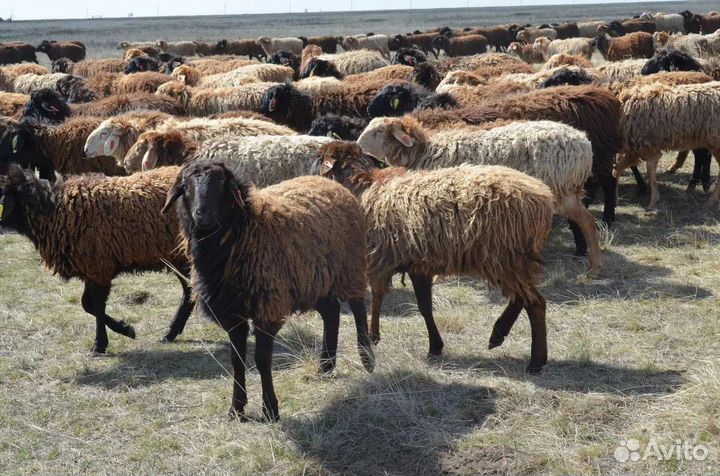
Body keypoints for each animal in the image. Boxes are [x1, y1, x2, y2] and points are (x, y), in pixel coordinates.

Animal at [0, 163, 194, 353]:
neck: (55, 211)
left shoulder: (99, 267)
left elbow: (97, 307)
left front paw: (100, 344)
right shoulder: (90, 268)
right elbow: (87, 304)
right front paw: (126, 329)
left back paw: (170, 332)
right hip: (178, 258)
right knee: (189, 291)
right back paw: (170, 333)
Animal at [161, 159, 373, 421]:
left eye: (221, 183)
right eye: (186, 185)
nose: (202, 213)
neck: (244, 232)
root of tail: (329, 182)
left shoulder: (267, 306)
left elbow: (262, 360)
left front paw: (270, 409)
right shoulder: (232, 313)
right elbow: (237, 360)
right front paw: (236, 409)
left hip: (349, 266)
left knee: (358, 306)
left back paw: (367, 360)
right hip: (312, 277)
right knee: (331, 311)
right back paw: (325, 366)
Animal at [319, 141, 553, 372]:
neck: (364, 187)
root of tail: (543, 197)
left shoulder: (381, 259)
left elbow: (378, 298)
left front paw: (373, 335)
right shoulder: (417, 264)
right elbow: (425, 306)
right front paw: (435, 346)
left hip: (506, 255)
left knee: (535, 303)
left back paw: (536, 360)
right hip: (513, 258)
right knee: (521, 297)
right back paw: (498, 335)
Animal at [356, 116, 601, 276]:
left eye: (378, 131)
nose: (356, 145)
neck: (423, 152)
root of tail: (584, 143)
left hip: (559, 190)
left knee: (587, 222)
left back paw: (593, 268)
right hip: (565, 192)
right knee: (586, 221)